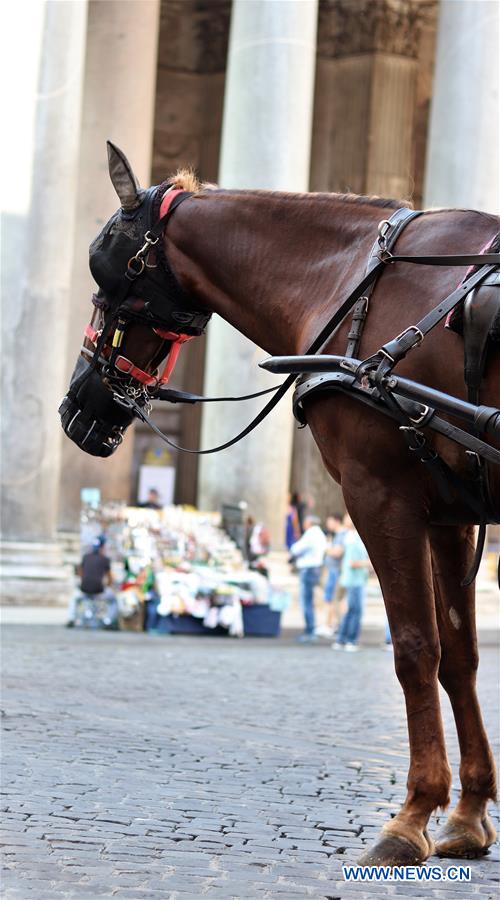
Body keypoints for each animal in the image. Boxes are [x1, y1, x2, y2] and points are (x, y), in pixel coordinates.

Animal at [61, 142, 499, 867]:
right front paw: (467, 814)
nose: (75, 408)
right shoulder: (450, 512)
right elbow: (459, 656)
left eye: (106, 270)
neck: (359, 282)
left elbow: (415, 650)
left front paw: (413, 814)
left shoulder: (380, 495)